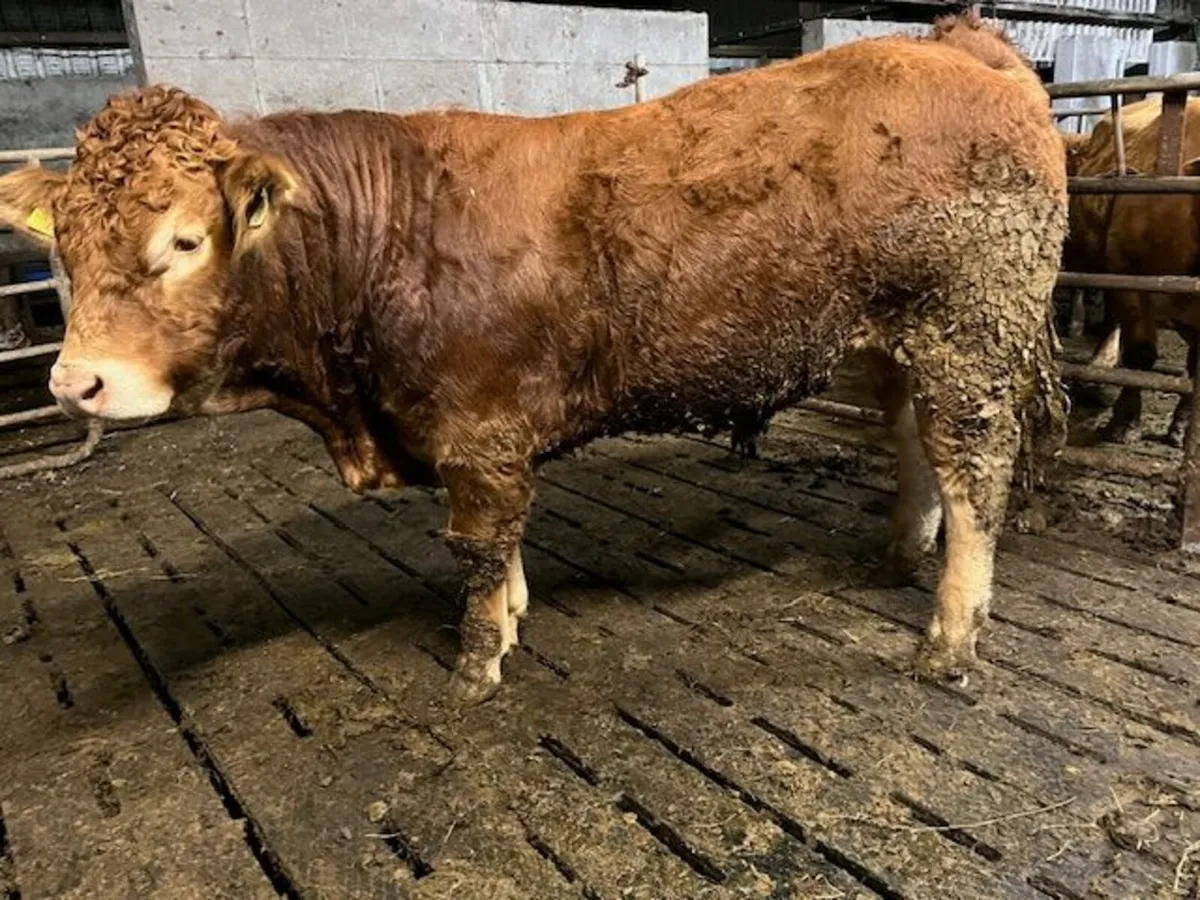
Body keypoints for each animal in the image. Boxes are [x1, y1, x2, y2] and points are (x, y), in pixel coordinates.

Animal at [0, 12, 1067, 702]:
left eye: (184, 240)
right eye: (66, 247)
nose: (74, 381)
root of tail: (959, 44)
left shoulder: (478, 431)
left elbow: (476, 548)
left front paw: (475, 665)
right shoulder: (479, 437)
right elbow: (504, 544)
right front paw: (512, 618)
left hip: (970, 329)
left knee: (976, 470)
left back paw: (949, 640)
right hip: (903, 338)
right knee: (916, 444)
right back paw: (900, 557)